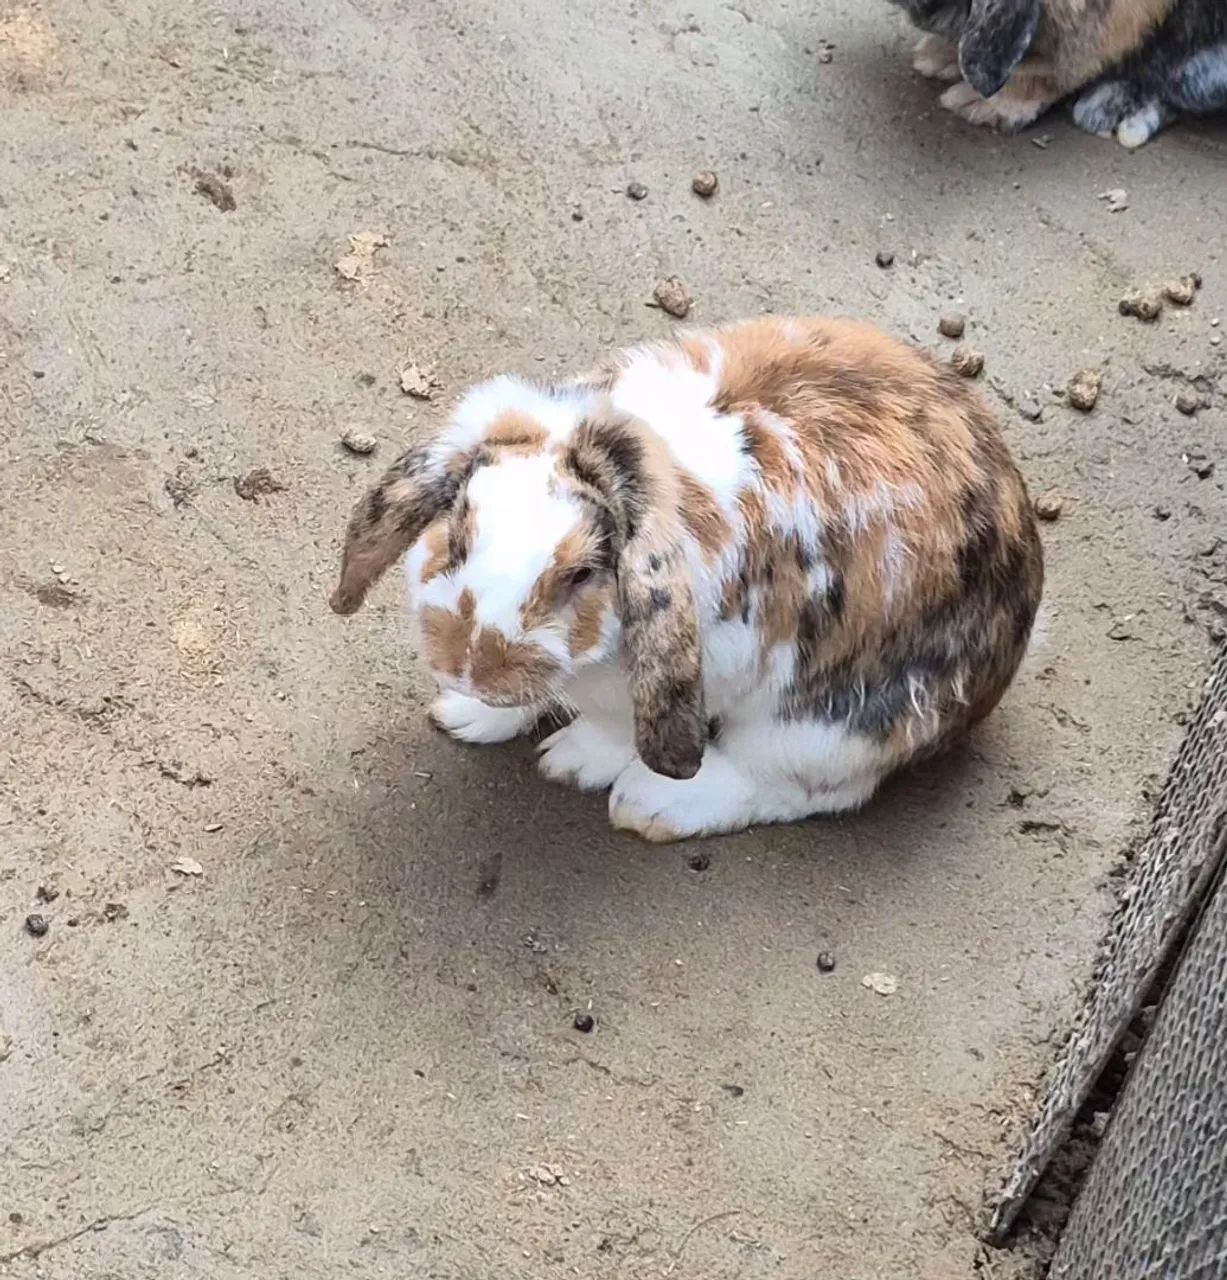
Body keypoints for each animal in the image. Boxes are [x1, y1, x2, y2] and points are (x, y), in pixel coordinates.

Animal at [330, 317, 1043, 843]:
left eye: (583, 573)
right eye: (456, 533)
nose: (471, 669)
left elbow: (612, 729)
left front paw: (570, 761)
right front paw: (469, 715)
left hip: (830, 727)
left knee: (800, 788)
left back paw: (653, 805)